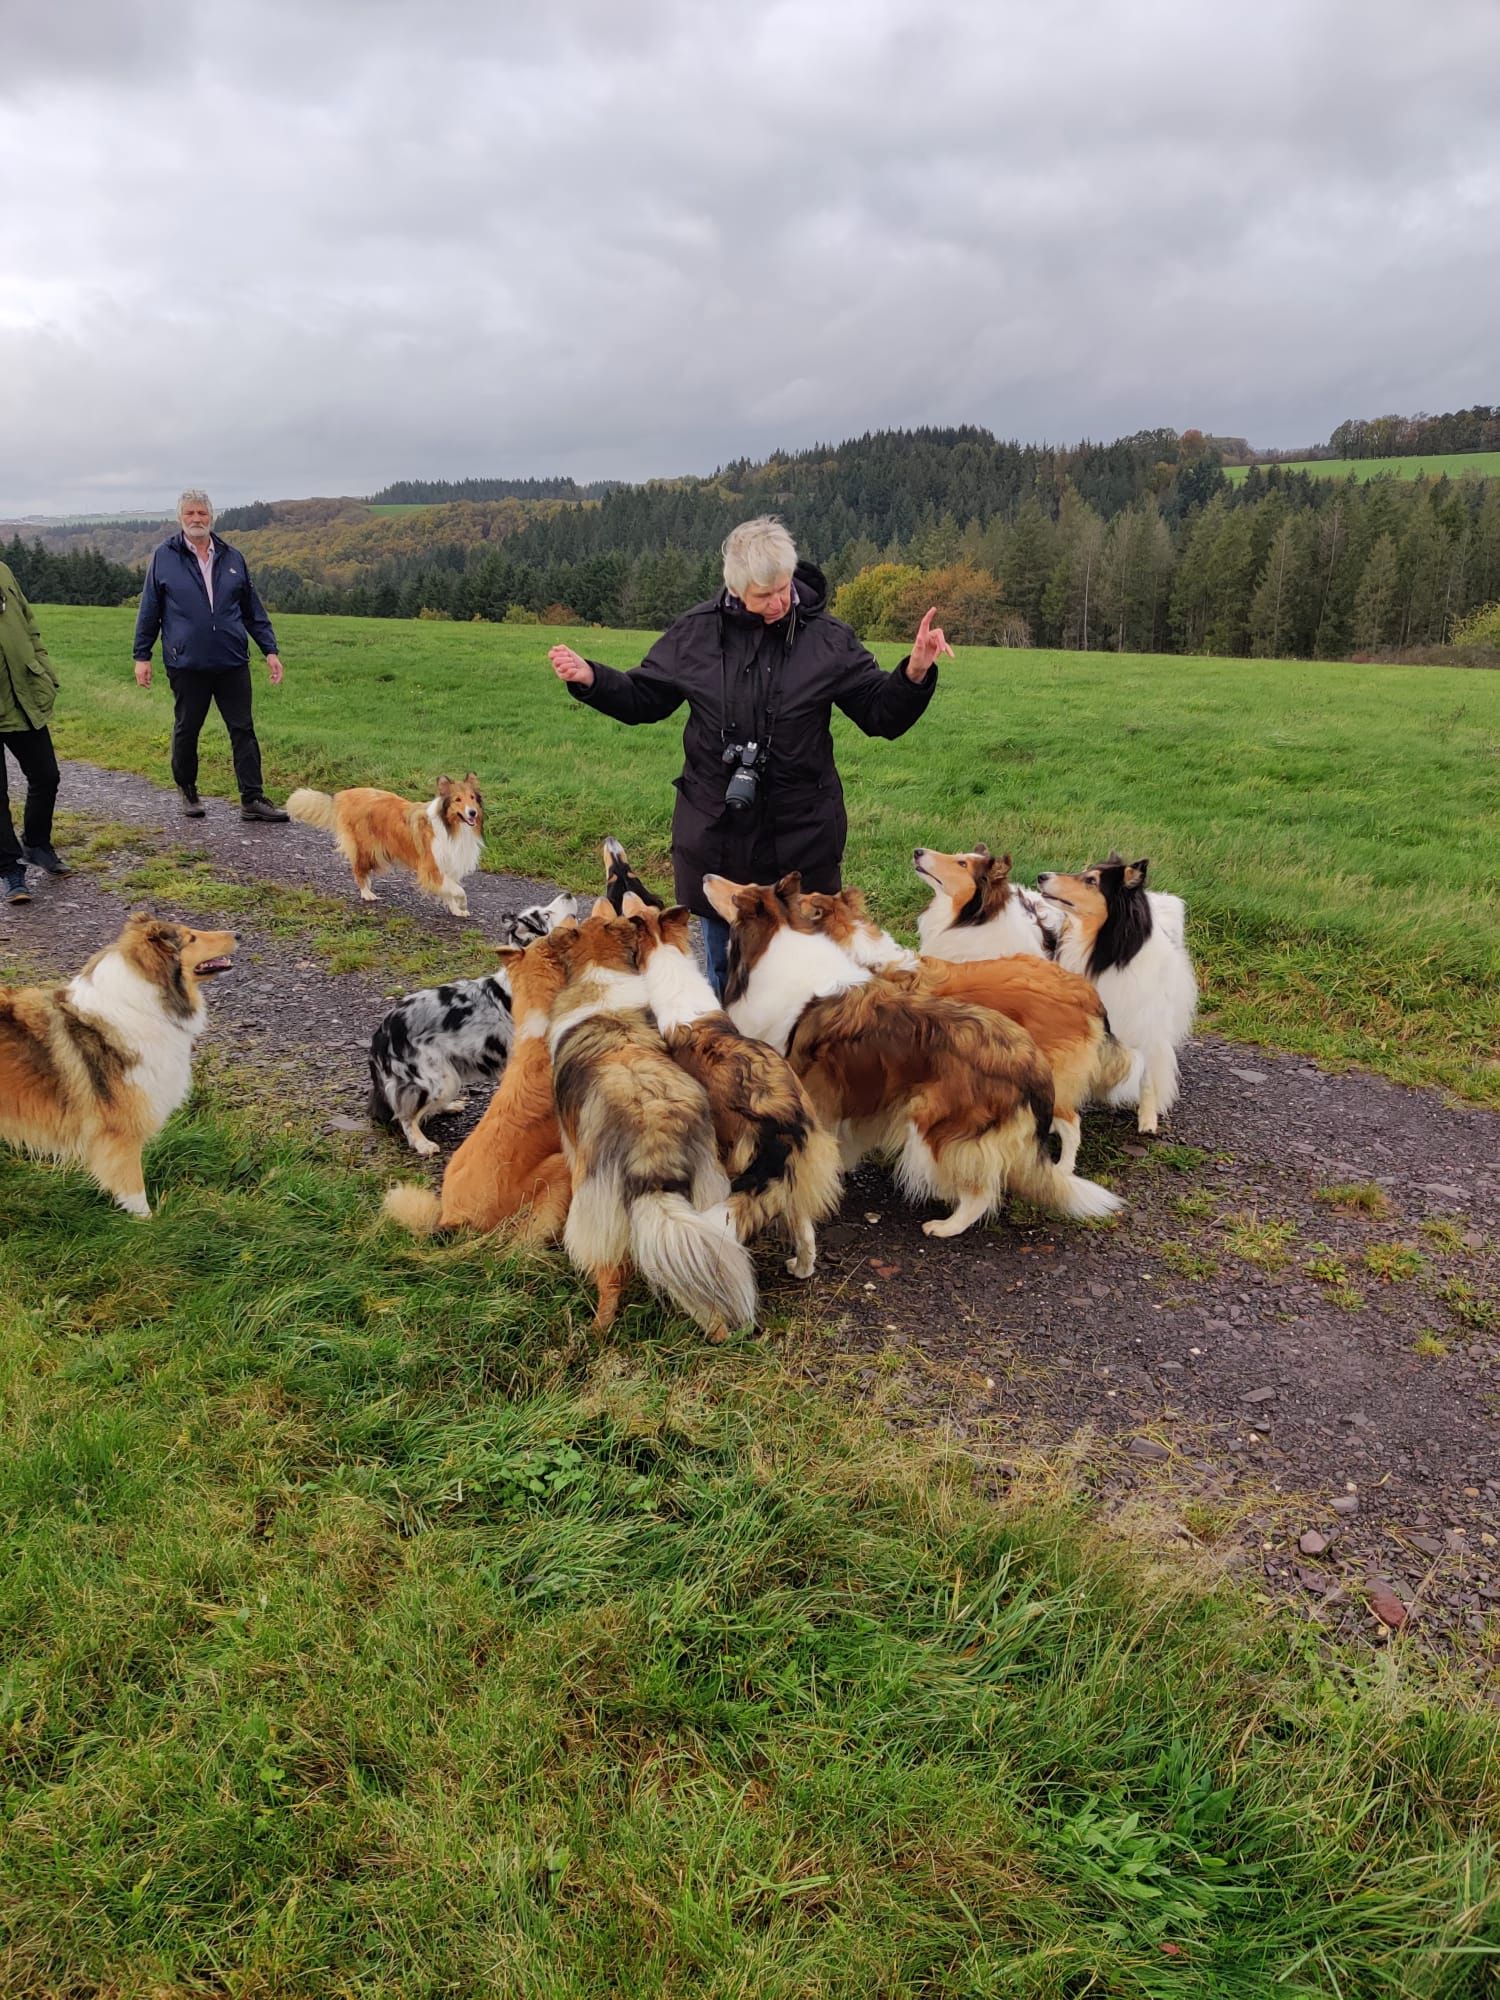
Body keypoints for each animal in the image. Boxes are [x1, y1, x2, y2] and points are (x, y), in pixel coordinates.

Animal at [0, 912, 236, 1217]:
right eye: (190, 938)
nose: (238, 934)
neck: (142, 1008)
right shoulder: (121, 1133)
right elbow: (134, 1189)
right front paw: (148, 1223)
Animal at [287, 773, 485, 916]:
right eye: (458, 800)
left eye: (472, 798)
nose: (472, 813)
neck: (451, 827)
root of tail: (342, 795)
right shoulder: (431, 867)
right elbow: (459, 890)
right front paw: (462, 904)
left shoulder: (447, 865)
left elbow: (450, 890)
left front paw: (457, 910)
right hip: (367, 849)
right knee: (358, 871)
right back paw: (367, 894)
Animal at [537, 907, 757, 1338]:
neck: (599, 973)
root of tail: (655, 1144)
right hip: (707, 1193)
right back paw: (717, 1328)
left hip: (596, 1202)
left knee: (609, 1271)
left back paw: (598, 1326)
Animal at [1034, 853, 1197, 1132]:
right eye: (1084, 872)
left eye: (1091, 881)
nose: (1042, 876)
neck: (1105, 954)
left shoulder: (1146, 1028)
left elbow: (1148, 1078)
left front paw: (1148, 1120)